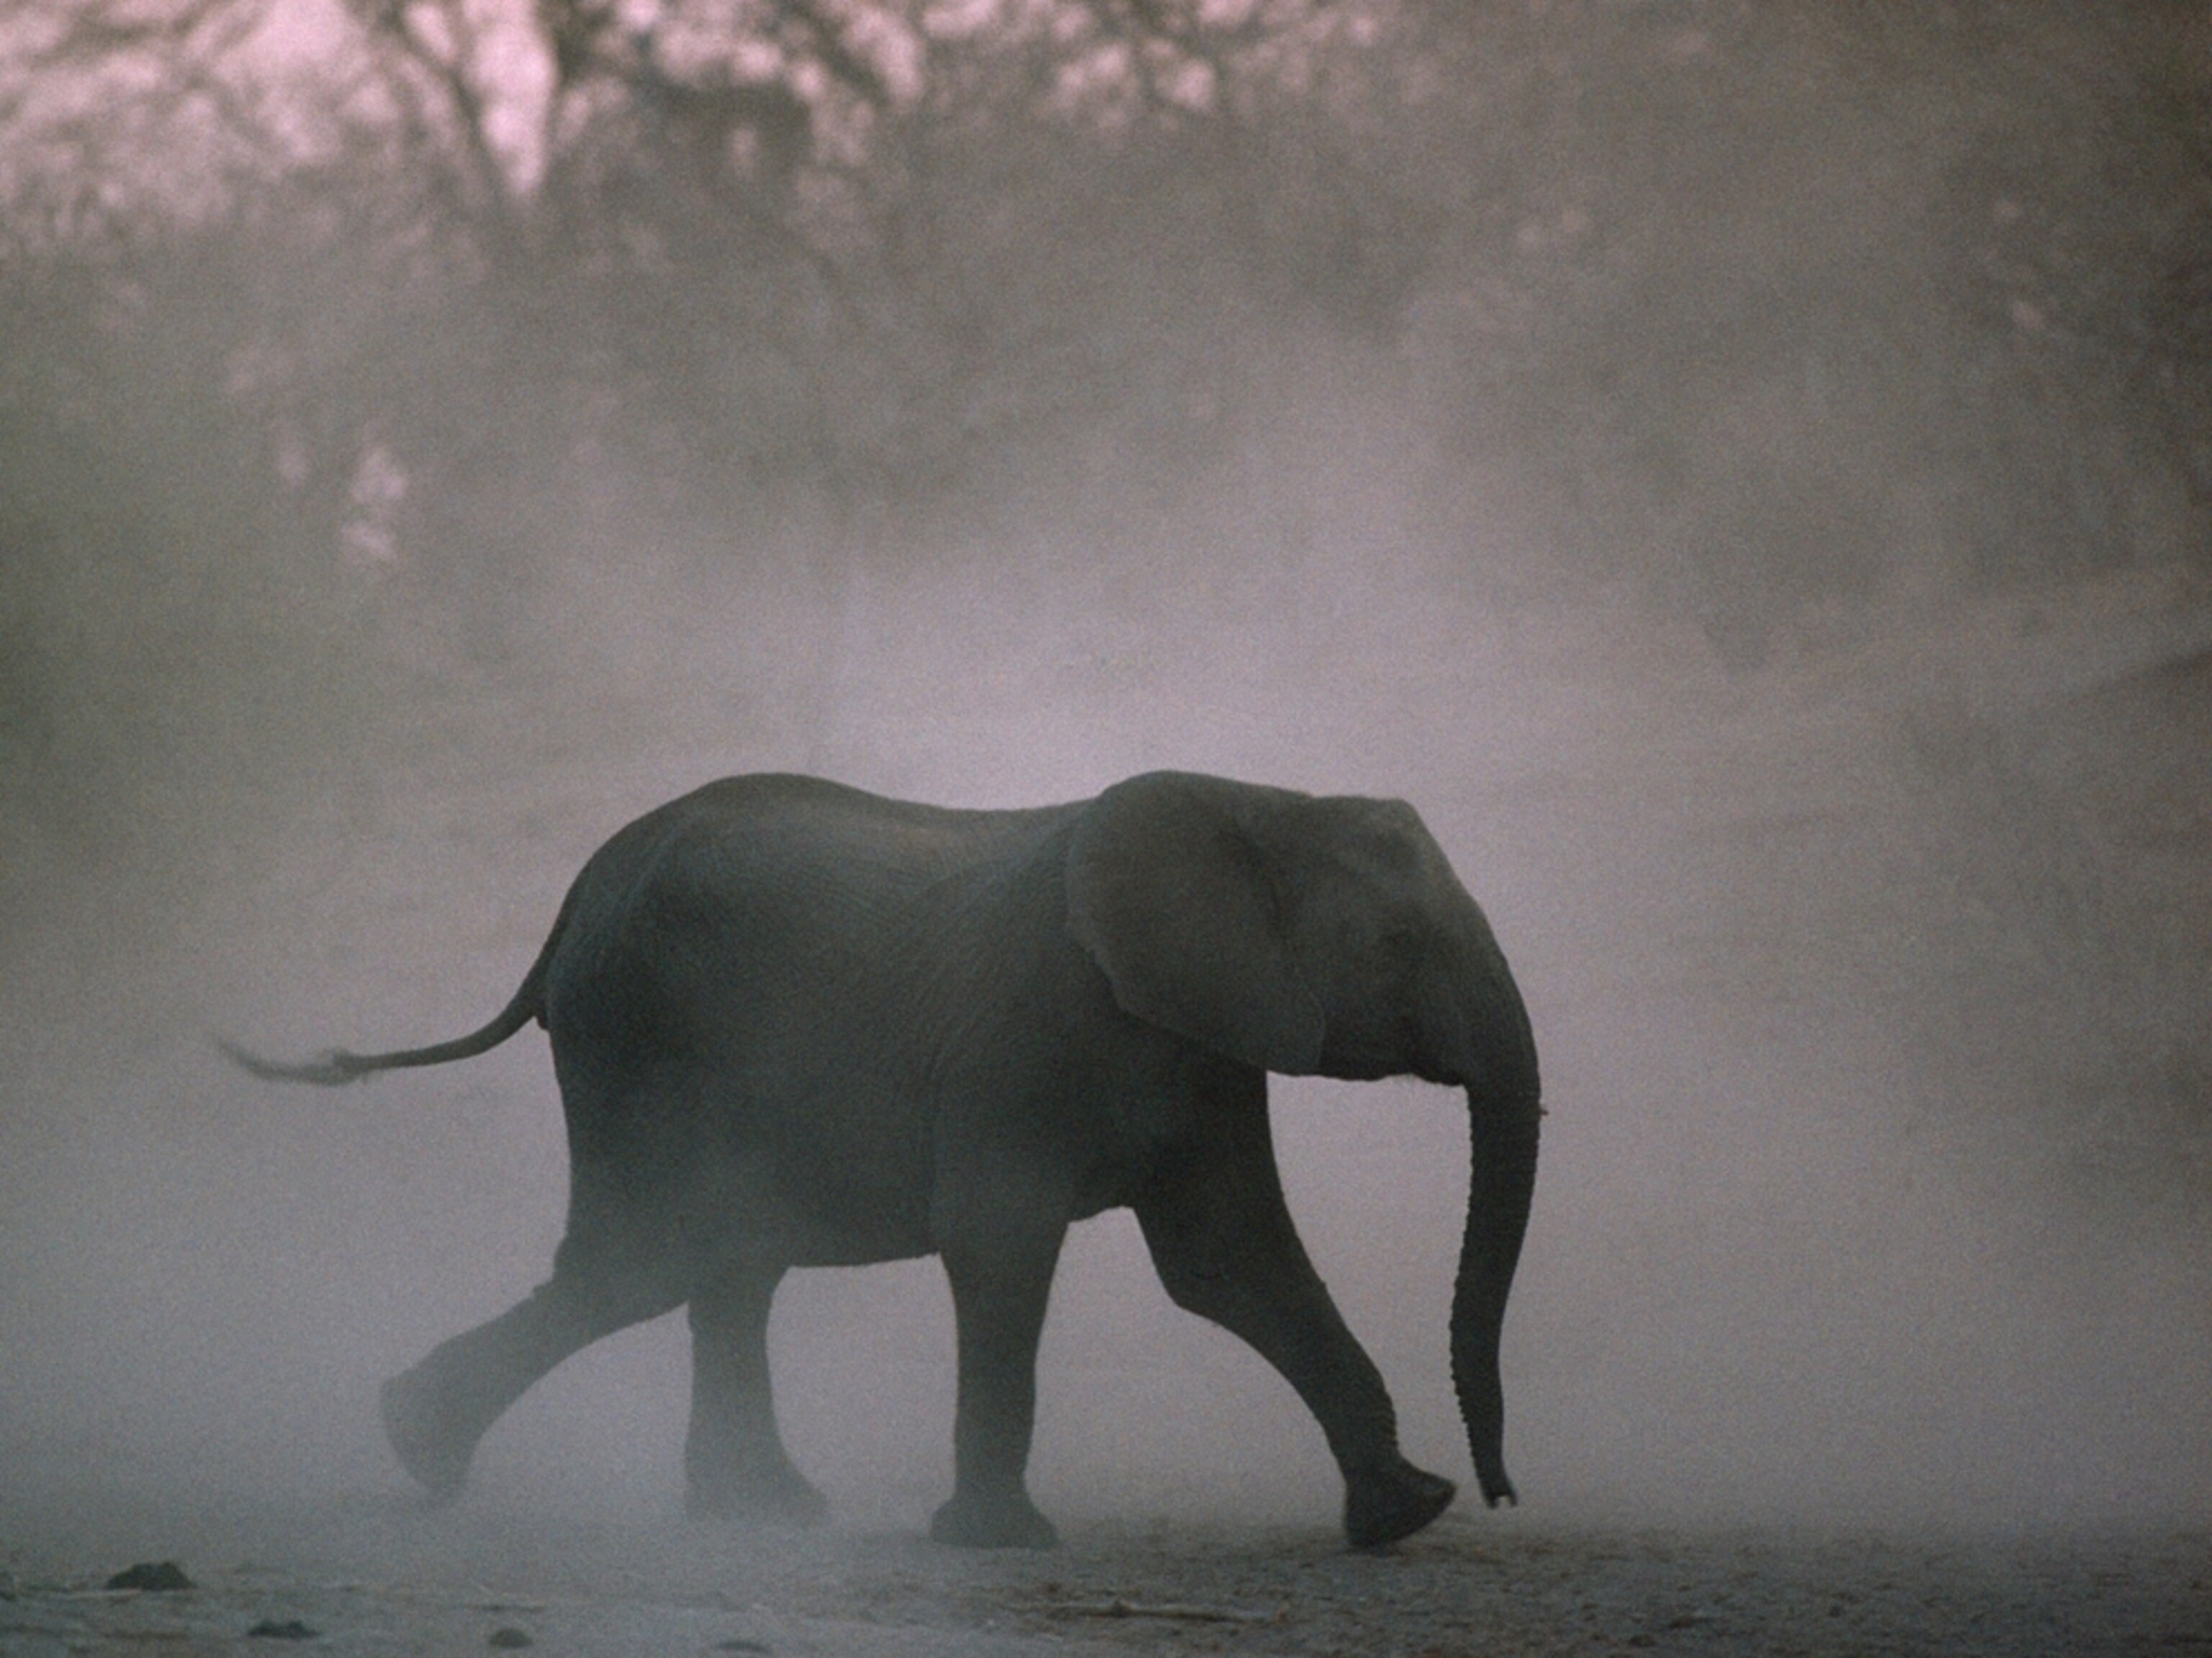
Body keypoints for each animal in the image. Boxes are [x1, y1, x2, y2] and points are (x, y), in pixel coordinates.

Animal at [225, 770, 1542, 1550]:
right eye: (1396, 942)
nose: (1499, 1489)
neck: (1263, 803)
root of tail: (566, 910)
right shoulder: (1031, 1033)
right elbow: (1001, 1244)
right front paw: (999, 1543)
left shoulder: (1203, 1045)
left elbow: (1234, 1266)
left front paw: (1403, 1514)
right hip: (638, 1035)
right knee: (645, 1263)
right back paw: (420, 1443)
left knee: (721, 1268)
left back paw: (753, 1514)